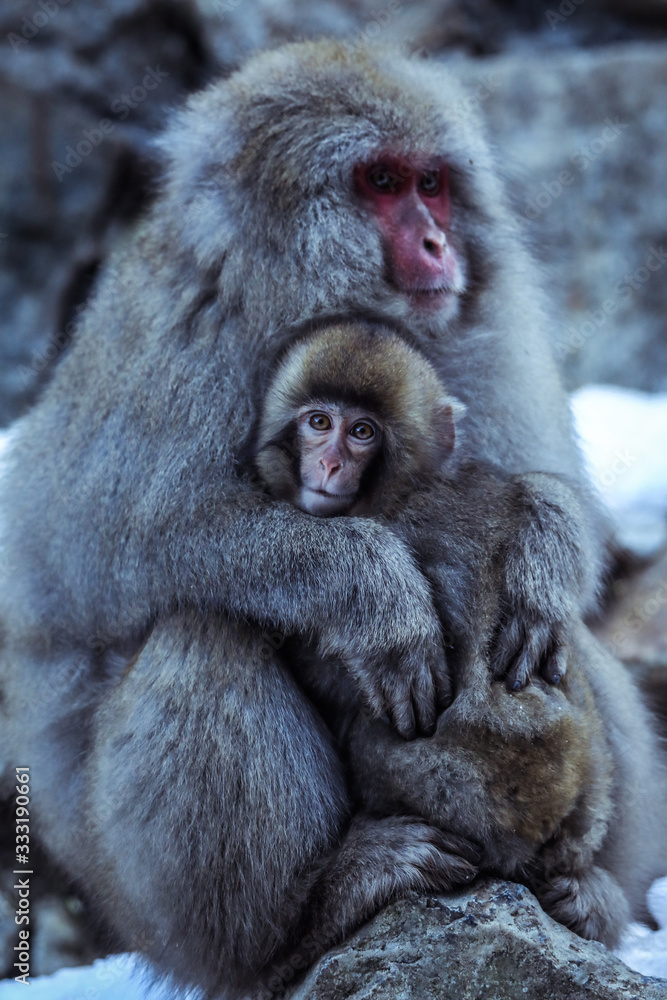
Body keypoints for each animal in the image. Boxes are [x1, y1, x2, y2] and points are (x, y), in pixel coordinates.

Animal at [0, 39, 609, 997]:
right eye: (381, 181)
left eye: (433, 183)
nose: (436, 243)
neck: (282, 284)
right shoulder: (181, 337)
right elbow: (124, 555)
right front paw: (372, 591)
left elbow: (541, 496)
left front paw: (546, 542)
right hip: (144, 907)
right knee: (205, 632)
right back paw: (301, 923)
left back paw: (582, 891)